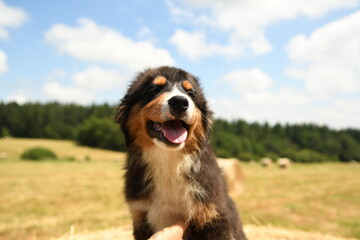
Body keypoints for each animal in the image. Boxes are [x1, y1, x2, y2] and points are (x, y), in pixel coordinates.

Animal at [116, 66, 246, 240]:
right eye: (154, 89)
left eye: (191, 93)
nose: (179, 102)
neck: (169, 159)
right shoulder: (141, 215)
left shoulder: (212, 216)